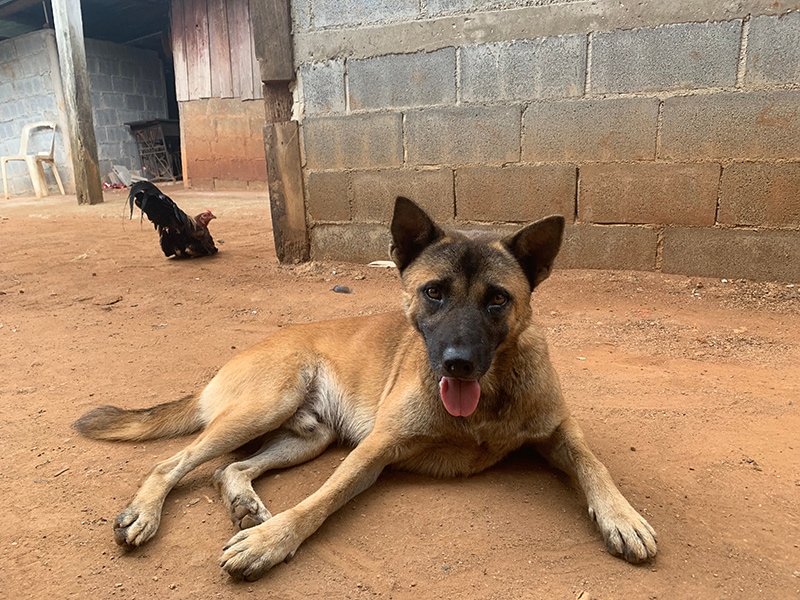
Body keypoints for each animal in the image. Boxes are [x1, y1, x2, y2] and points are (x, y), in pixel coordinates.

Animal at [73, 198, 656, 580]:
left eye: (497, 299)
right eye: (434, 293)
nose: (459, 364)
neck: (486, 400)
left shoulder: (560, 430)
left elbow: (593, 464)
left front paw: (622, 517)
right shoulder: (376, 447)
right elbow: (321, 499)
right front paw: (271, 543)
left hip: (308, 437)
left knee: (227, 469)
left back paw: (243, 504)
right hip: (267, 405)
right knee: (170, 463)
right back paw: (147, 514)